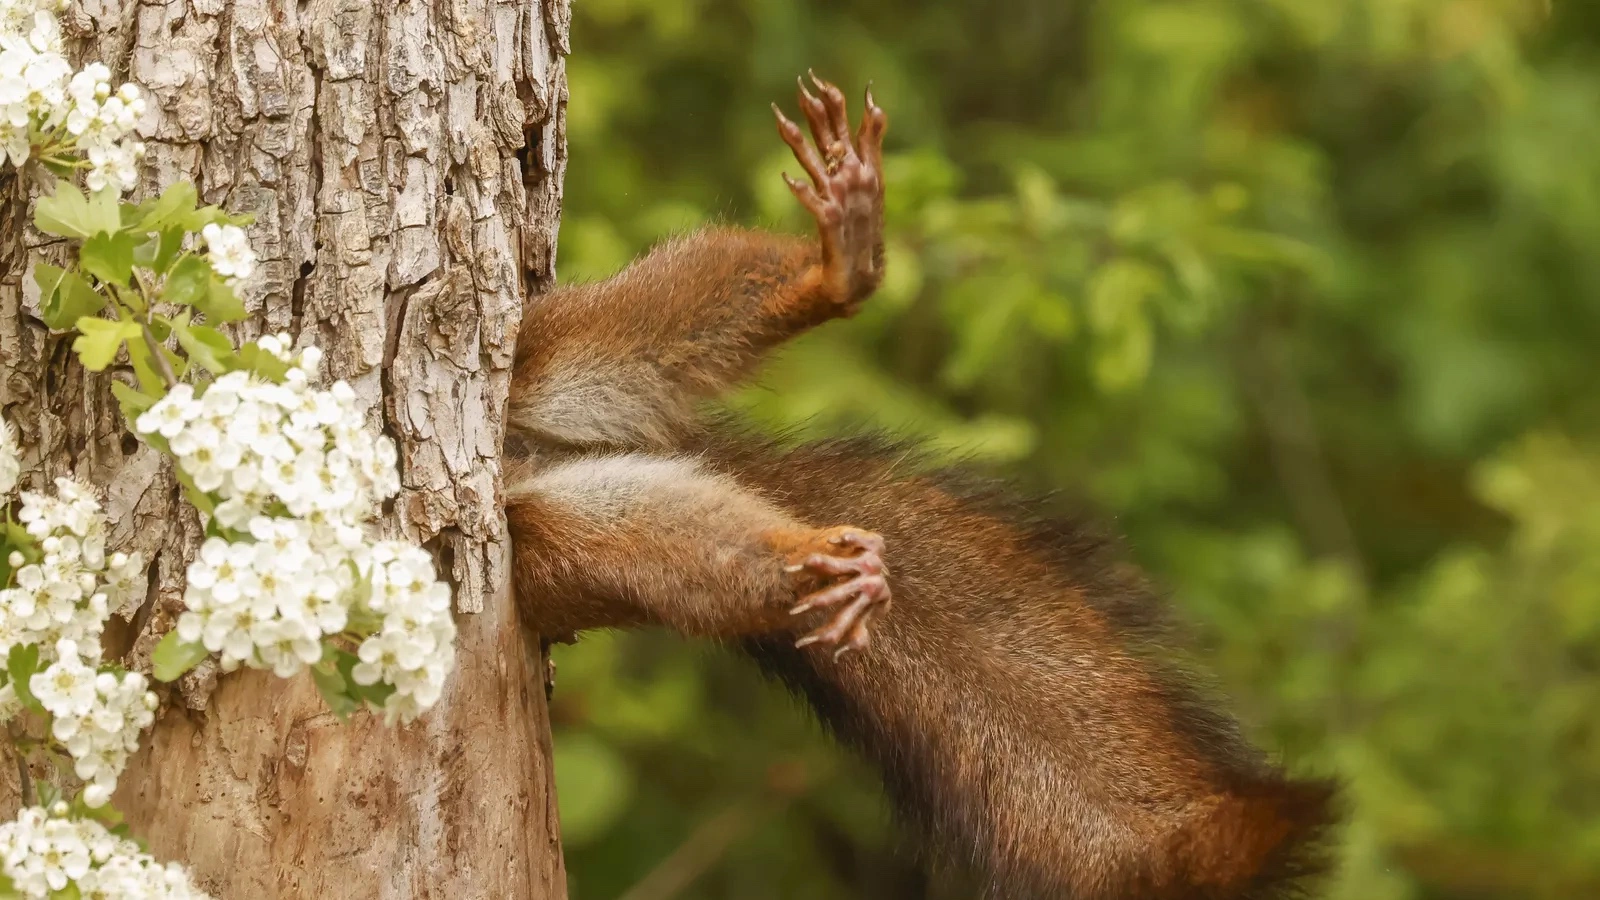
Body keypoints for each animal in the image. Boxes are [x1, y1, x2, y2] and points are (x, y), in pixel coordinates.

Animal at [502, 71, 1337, 896]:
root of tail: (528, 457)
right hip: (558, 546)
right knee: (678, 553)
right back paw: (821, 566)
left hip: (550, 349)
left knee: (658, 318)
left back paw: (840, 265)